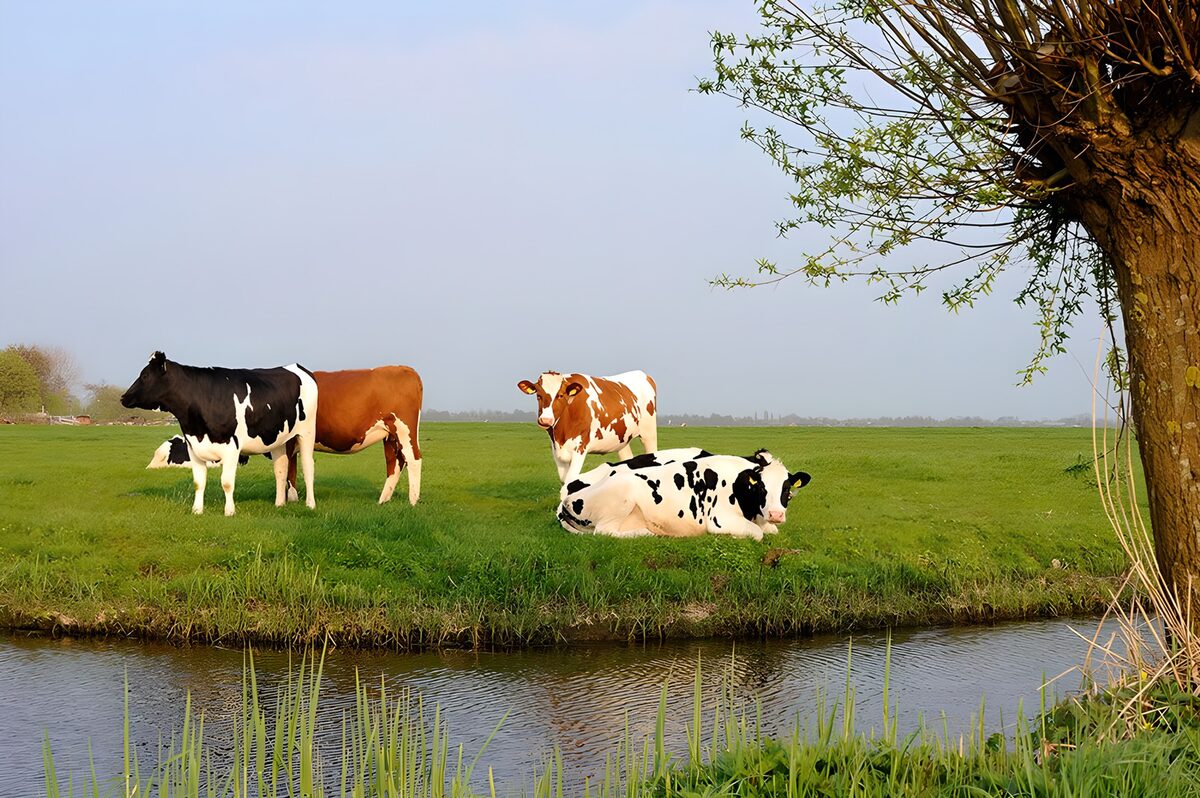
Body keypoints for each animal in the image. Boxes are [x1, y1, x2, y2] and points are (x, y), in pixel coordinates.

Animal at [120, 351, 318, 516]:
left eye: (145, 376)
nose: (123, 397)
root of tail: (299, 367)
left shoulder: (231, 448)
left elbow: (227, 482)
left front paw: (229, 511)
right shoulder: (194, 448)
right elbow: (198, 482)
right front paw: (197, 511)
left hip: (307, 432)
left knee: (308, 466)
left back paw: (310, 504)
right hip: (277, 438)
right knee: (281, 468)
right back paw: (279, 504)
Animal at [148, 366, 423, 506]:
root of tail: (405, 368)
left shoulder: (289, 440)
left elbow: (289, 469)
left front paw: (291, 498)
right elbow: (289, 468)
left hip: (404, 429)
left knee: (414, 460)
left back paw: (413, 500)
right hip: (390, 435)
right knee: (395, 464)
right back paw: (383, 500)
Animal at [517, 370, 658, 484]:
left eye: (561, 395)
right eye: (538, 395)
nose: (545, 420)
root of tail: (643, 374)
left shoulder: (580, 448)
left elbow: (570, 479)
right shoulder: (556, 451)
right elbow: (563, 480)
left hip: (648, 433)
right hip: (621, 439)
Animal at [556, 449, 810, 541]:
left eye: (786, 489)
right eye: (761, 488)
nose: (776, 514)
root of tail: (566, 500)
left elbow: (771, 530)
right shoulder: (719, 519)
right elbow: (757, 535)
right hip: (622, 497)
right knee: (604, 531)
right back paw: (647, 533)